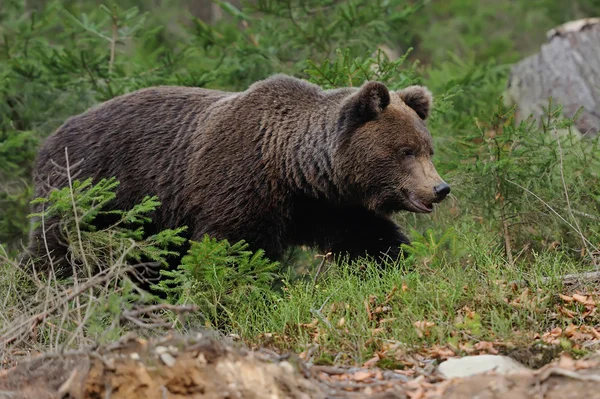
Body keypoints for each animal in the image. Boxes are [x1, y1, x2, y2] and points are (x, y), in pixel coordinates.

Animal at [25, 74, 448, 276]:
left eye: (427, 149)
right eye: (405, 151)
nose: (439, 188)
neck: (292, 169)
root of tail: (47, 141)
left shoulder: (325, 205)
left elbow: (368, 237)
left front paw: (396, 264)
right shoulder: (238, 185)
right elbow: (231, 249)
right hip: (93, 192)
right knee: (56, 250)